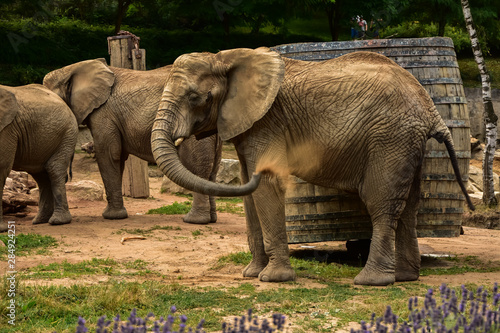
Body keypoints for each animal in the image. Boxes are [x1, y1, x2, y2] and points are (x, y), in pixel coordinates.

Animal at [0, 84, 78, 232]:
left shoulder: (7, 129)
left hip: (67, 134)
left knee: (54, 170)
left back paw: (57, 221)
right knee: (41, 176)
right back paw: (40, 220)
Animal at [150, 46, 474, 286]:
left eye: (195, 97)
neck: (225, 58)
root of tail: (430, 107)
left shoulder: (268, 122)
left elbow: (266, 187)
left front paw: (273, 279)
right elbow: (249, 191)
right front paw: (251, 274)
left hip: (390, 138)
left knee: (380, 202)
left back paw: (371, 281)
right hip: (408, 143)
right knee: (408, 206)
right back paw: (405, 277)